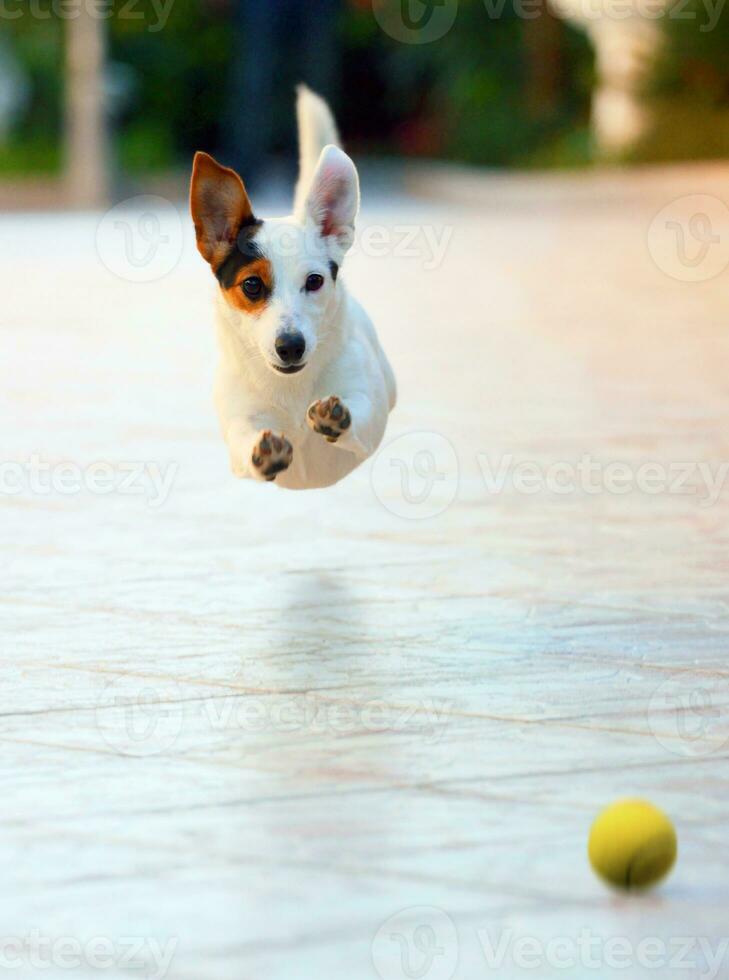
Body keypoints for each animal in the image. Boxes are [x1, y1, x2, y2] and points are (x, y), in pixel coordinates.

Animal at [188, 86, 392, 490]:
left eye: (314, 281)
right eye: (252, 285)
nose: (291, 346)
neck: (292, 391)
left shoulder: (370, 416)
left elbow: (361, 416)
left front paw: (336, 417)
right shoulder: (240, 429)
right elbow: (245, 442)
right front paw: (264, 451)